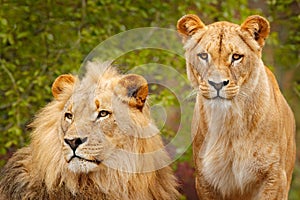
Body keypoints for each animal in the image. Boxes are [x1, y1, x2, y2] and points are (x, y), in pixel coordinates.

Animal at [177, 14, 296, 200]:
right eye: (203, 56)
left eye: (236, 57)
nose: (217, 84)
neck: (229, 122)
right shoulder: (206, 179)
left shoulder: (274, 177)